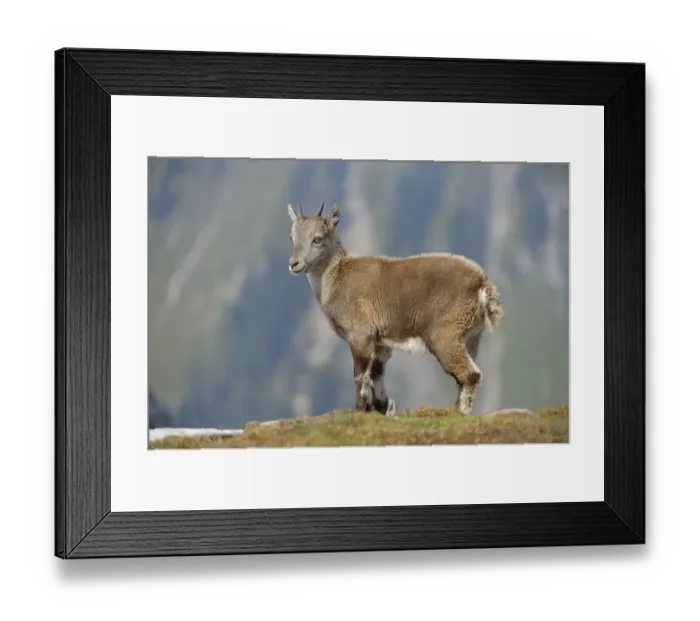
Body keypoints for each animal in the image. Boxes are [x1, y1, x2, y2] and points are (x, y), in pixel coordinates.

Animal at [286, 201, 503, 416]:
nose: (293, 264)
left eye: (317, 238)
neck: (337, 279)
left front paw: (359, 410)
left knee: (470, 374)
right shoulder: (381, 342)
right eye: (291, 237)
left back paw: (457, 412)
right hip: (471, 338)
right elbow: (377, 374)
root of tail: (482, 283)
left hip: (444, 335)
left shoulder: (360, 337)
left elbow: (360, 375)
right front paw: (380, 408)